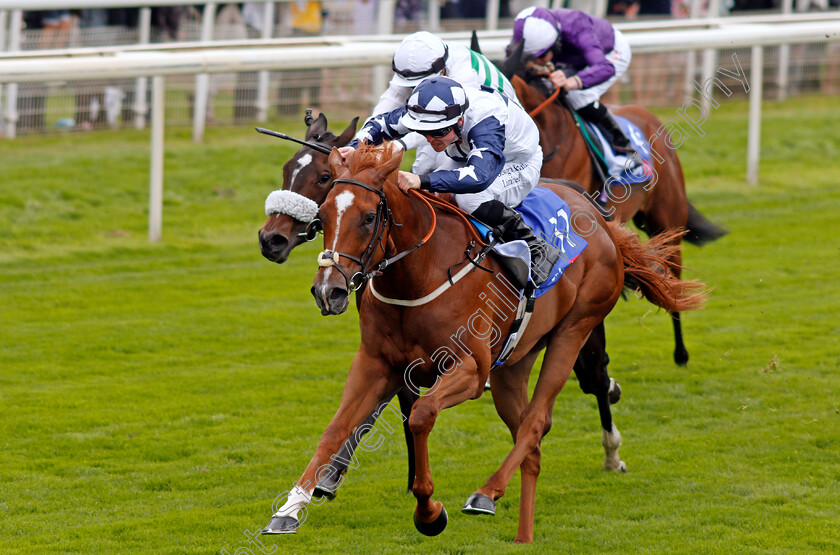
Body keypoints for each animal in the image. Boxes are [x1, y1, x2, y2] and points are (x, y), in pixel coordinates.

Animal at [264, 143, 704, 544]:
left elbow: (421, 415)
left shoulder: (471, 369)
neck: (419, 273)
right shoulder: (376, 364)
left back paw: (487, 492)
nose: (329, 291)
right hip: (514, 360)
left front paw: (429, 513)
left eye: (370, 217)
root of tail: (601, 219)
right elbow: (336, 428)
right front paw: (290, 509)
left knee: (540, 418)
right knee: (529, 427)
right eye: (323, 216)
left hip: (576, 329)